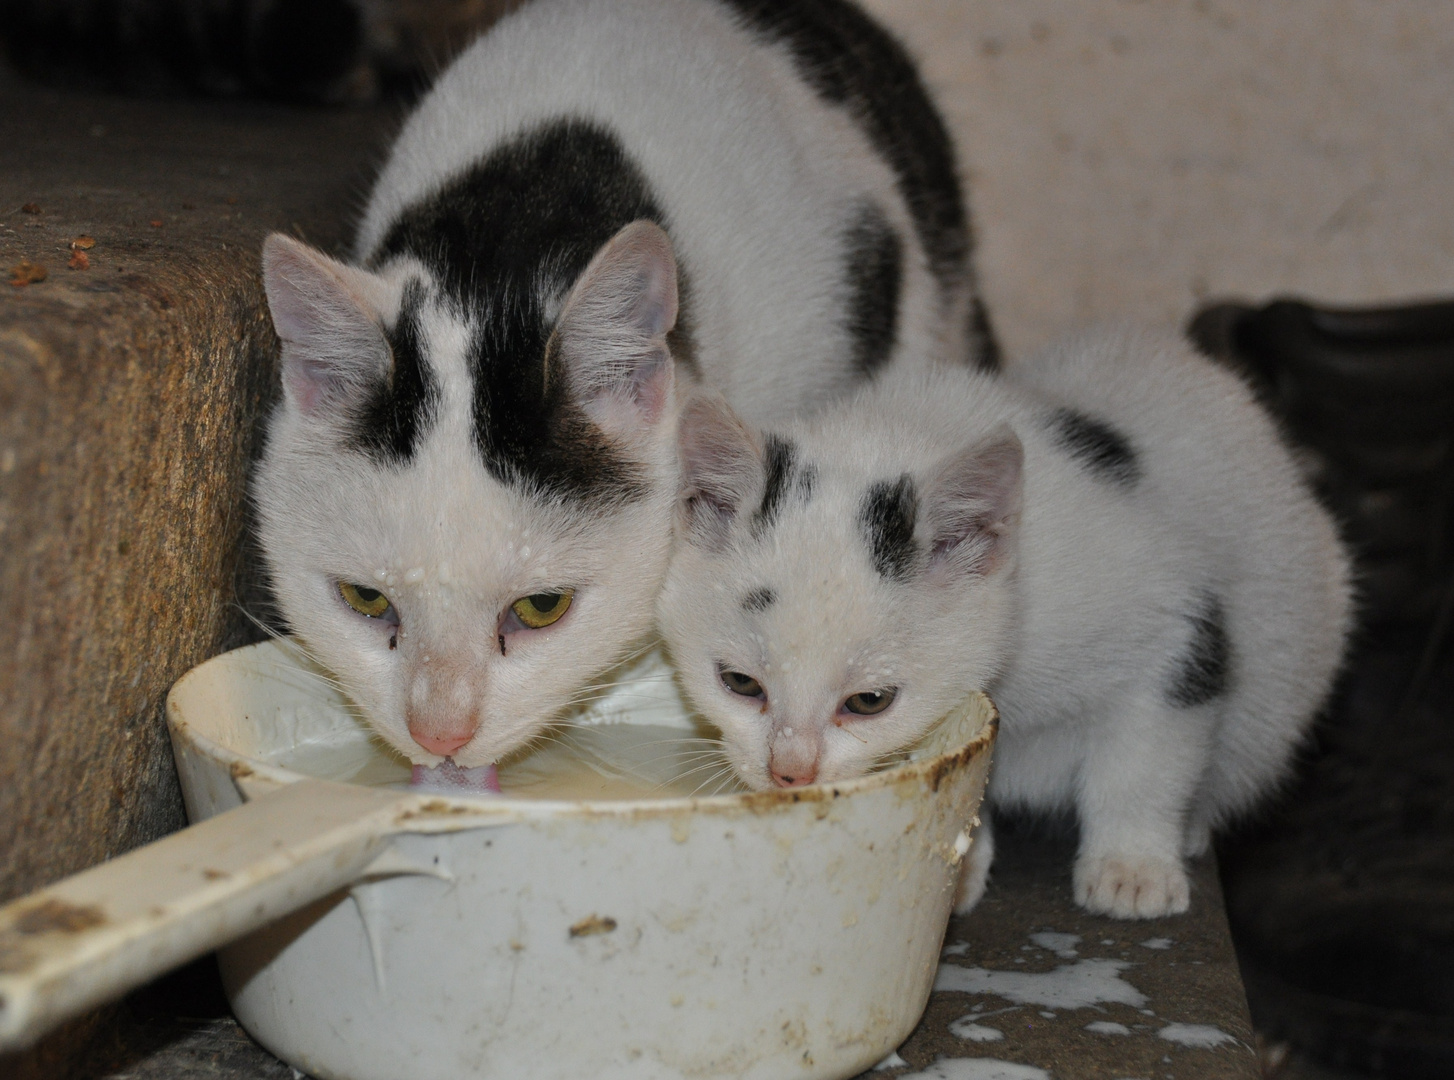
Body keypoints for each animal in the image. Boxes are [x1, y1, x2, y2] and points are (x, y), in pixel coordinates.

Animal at [660, 325, 1349, 918]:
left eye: (869, 701)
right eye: (740, 684)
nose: (789, 773)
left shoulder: (1172, 615)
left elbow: (1146, 754)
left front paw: (1132, 865)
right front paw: (964, 864)